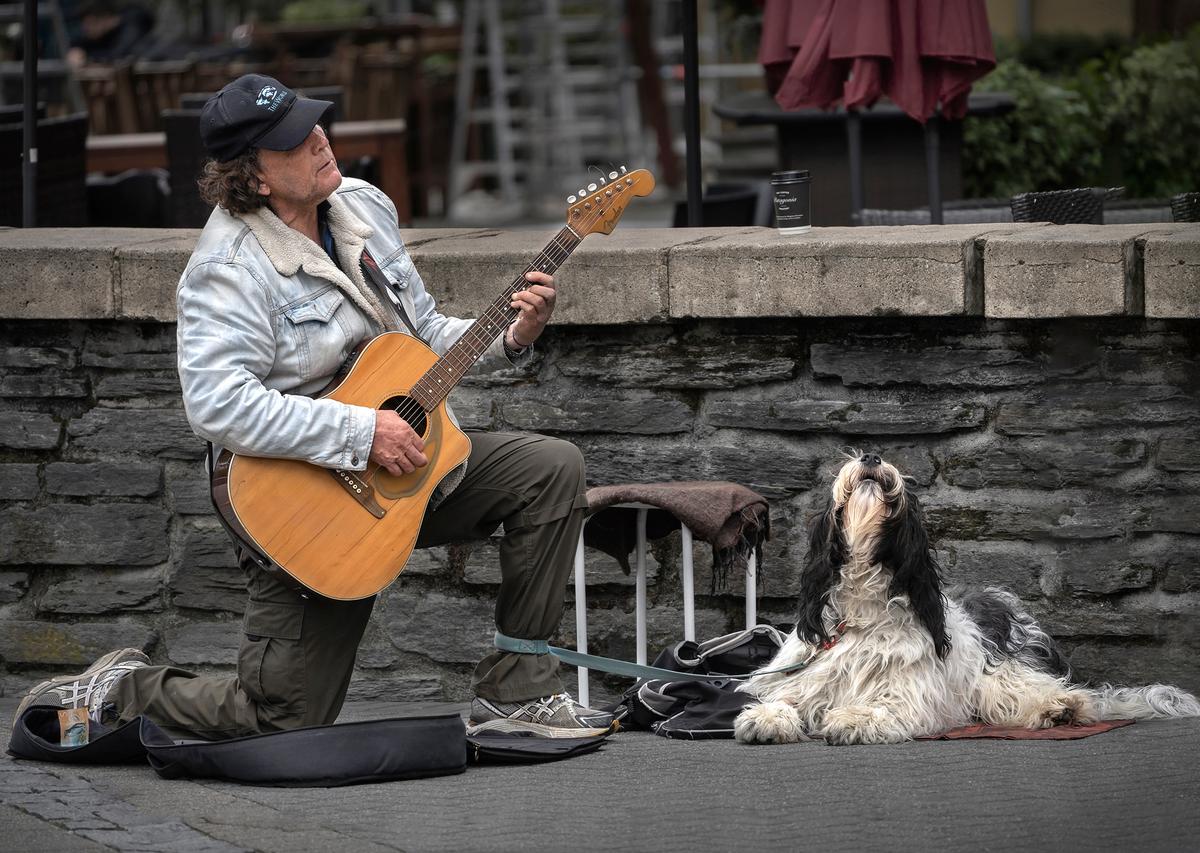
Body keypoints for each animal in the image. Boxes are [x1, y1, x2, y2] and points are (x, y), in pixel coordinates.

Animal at [734, 451, 1195, 743]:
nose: (871, 457)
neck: (863, 607)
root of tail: (1006, 605)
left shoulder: (913, 693)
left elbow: (886, 705)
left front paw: (855, 718)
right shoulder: (803, 678)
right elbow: (784, 699)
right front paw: (767, 718)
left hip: (1001, 673)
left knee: (1050, 695)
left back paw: (1060, 708)